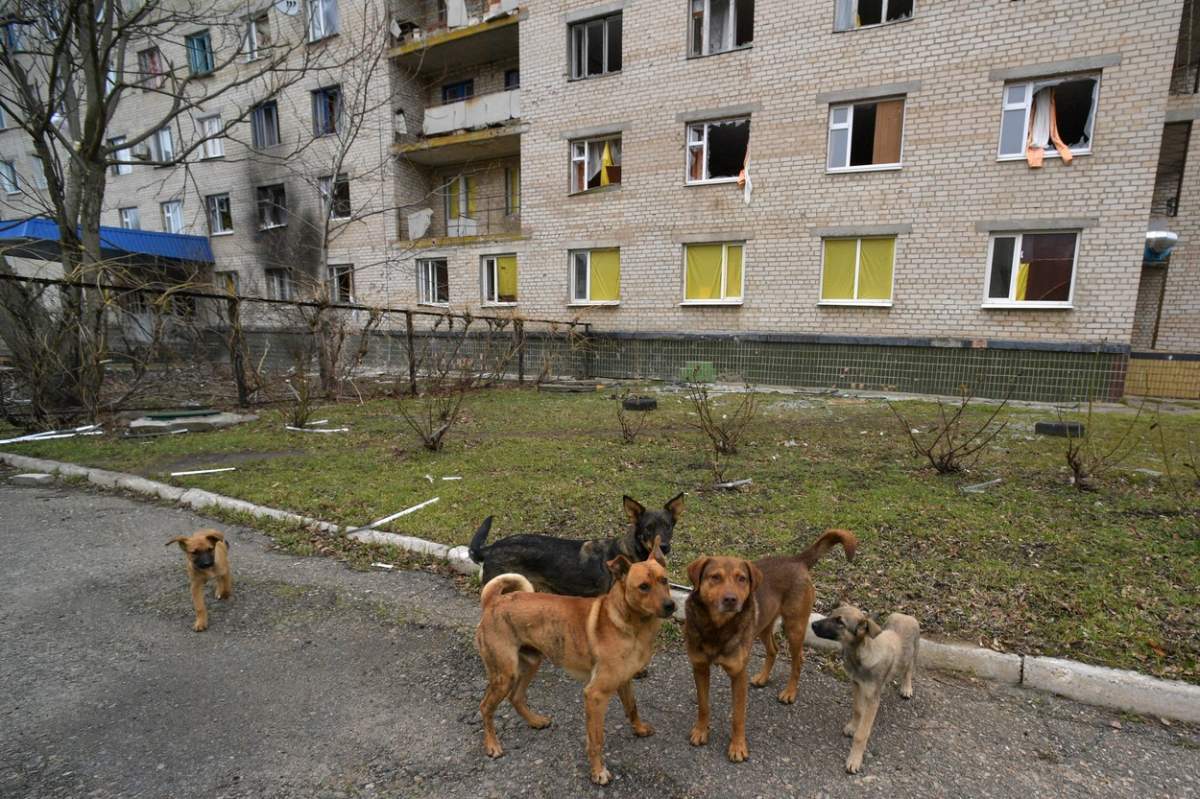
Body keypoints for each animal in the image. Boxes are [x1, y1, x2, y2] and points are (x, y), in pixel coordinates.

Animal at [472, 537, 676, 782]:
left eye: (664, 580)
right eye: (643, 587)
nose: (671, 606)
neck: (629, 623)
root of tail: (494, 601)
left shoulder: (624, 681)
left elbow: (632, 708)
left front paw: (639, 729)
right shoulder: (595, 695)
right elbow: (596, 740)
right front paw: (598, 772)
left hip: (530, 663)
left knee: (516, 697)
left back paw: (535, 721)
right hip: (504, 674)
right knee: (485, 707)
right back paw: (492, 745)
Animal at [681, 527, 859, 758]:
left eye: (741, 579)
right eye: (715, 577)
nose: (731, 600)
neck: (717, 627)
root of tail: (796, 560)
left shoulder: (738, 674)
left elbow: (738, 716)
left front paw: (738, 746)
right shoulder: (700, 668)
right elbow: (703, 705)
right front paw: (701, 731)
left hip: (794, 628)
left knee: (798, 660)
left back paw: (790, 692)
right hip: (764, 625)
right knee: (773, 649)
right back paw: (763, 678)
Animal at [811, 604, 921, 772]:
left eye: (840, 622)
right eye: (831, 615)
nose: (812, 625)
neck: (860, 654)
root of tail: (906, 615)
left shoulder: (873, 700)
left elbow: (861, 734)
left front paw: (854, 759)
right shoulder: (856, 684)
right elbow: (857, 709)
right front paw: (853, 726)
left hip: (912, 653)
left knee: (909, 669)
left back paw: (906, 688)